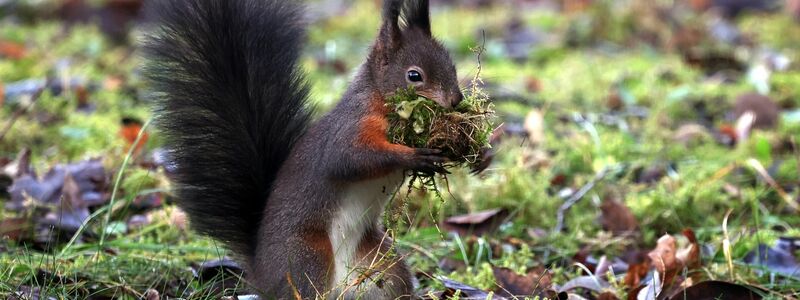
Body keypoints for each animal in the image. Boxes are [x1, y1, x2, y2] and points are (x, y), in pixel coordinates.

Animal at [141, 0, 460, 298]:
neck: (378, 99)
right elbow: (350, 159)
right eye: (414, 75)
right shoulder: (349, 129)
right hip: (307, 256)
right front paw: (414, 156)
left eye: (452, 65)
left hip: (382, 264)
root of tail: (262, 275)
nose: (456, 100)